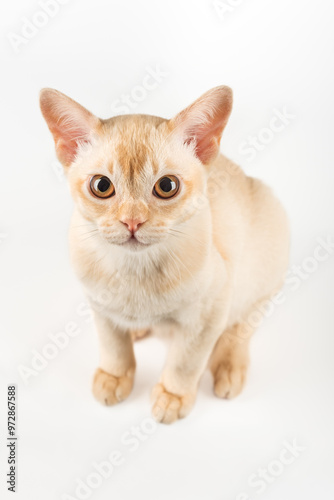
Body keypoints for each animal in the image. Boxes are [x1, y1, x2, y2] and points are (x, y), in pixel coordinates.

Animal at [39, 85, 290, 422]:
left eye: (167, 186)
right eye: (102, 186)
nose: (132, 221)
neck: (134, 270)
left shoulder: (209, 315)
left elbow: (185, 362)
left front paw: (173, 396)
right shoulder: (99, 307)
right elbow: (113, 347)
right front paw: (115, 376)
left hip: (260, 271)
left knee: (241, 325)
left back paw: (229, 368)